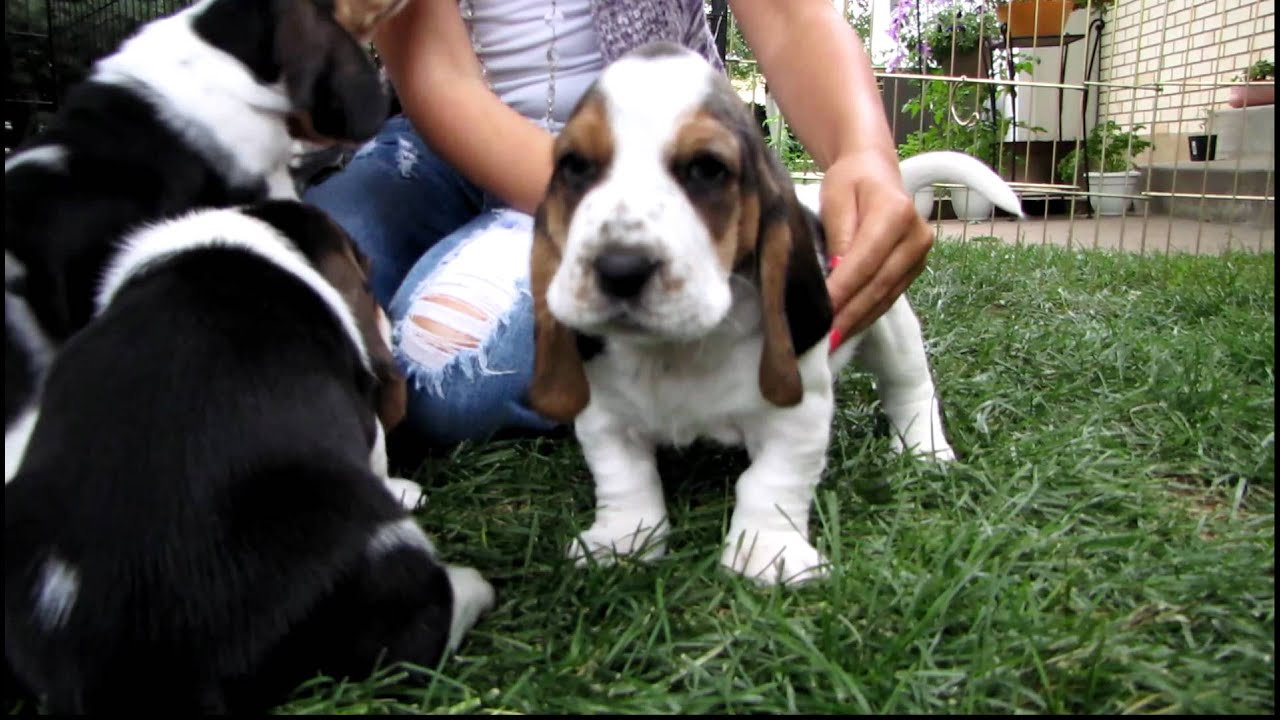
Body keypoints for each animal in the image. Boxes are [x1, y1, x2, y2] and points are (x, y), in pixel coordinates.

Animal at [3, 199, 494, 712]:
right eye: (366, 273)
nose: (383, 316)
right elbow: (376, 449)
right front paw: (405, 490)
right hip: (373, 540)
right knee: (413, 644)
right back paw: (473, 587)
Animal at [524, 41, 1024, 586]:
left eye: (707, 169)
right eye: (574, 165)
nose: (619, 268)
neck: (676, 352)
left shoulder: (797, 413)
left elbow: (770, 482)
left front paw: (768, 551)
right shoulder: (604, 416)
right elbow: (624, 477)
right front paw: (622, 539)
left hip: (890, 326)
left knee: (910, 386)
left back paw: (925, 449)